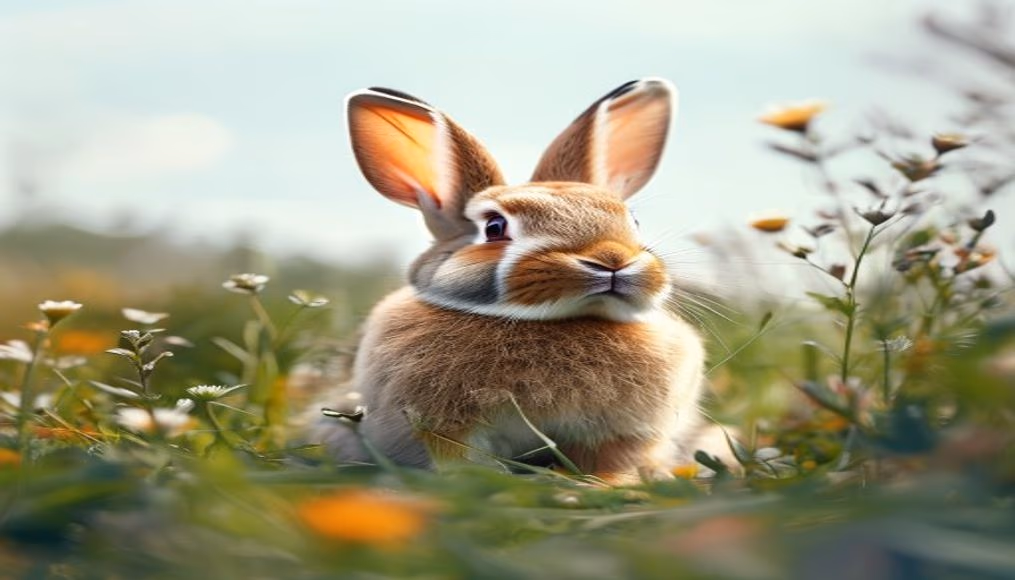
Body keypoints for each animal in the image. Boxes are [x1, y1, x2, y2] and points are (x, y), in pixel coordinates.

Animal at [314, 78, 709, 485]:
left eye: (634, 222)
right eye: (494, 227)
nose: (611, 260)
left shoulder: (618, 433)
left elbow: (607, 461)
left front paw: (600, 485)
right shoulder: (444, 426)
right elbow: (459, 456)